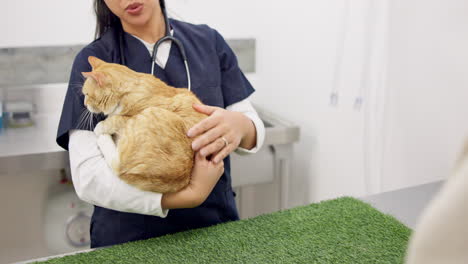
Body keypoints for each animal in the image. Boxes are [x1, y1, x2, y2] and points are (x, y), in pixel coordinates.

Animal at [80, 55, 207, 193]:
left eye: (86, 94)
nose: (84, 104)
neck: (129, 92)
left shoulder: (135, 114)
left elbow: (116, 119)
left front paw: (101, 125)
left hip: (150, 114)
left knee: (117, 164)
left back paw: (103, 137)